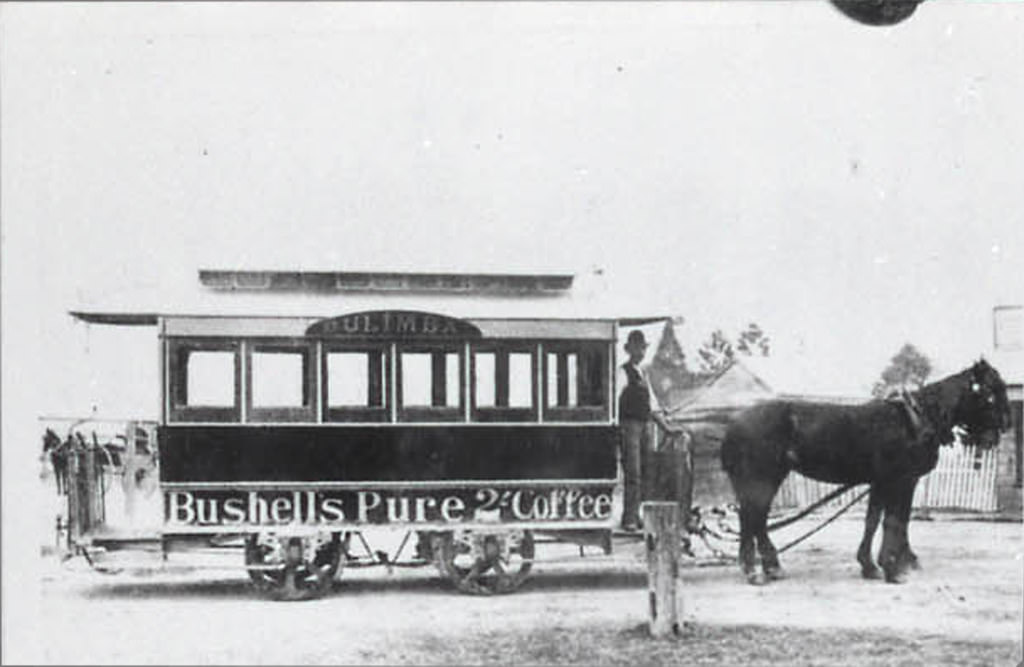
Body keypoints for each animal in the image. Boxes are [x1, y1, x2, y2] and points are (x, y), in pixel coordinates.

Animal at [724, 360, 1011, 586]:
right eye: (990, 393)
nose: (1006, 426)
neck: (916, 420)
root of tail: (735, 422)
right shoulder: (899, 480)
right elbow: (894, 521)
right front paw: (893, 568)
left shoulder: (881, 482)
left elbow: (876, 520)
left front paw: (872, 565)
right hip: (760, 478)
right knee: (752, 518)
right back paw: (754, 571)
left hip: (769, 478)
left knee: (756, 520)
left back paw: (770, 567)